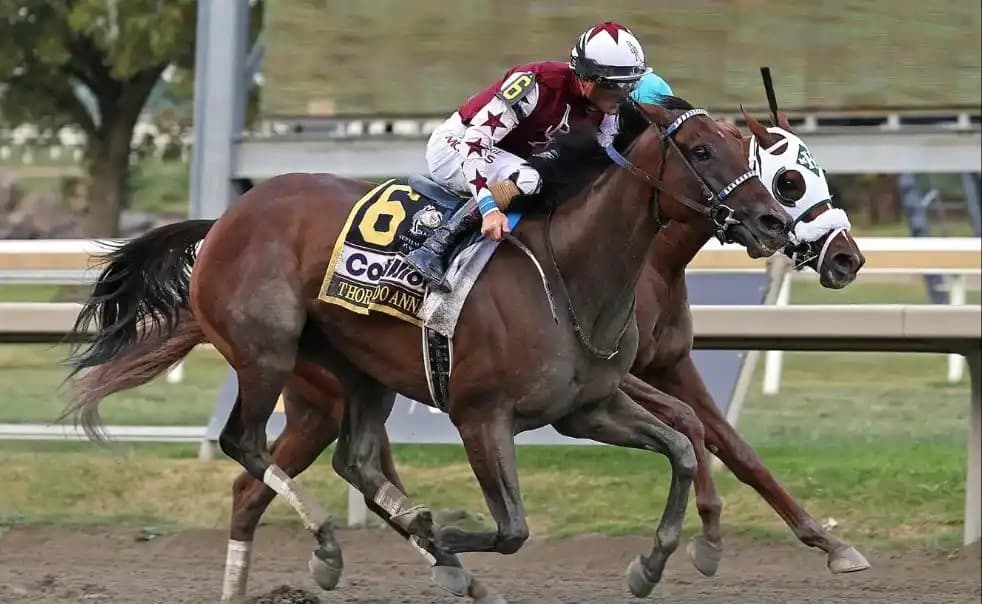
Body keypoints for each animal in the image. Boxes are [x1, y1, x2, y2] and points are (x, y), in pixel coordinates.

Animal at [65, 98, 792, 600]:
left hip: (357, 375)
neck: (570, 273)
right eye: (701, 150)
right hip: (266, 354)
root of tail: (226, 220)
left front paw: (653, 562)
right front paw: (440, 537)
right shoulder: (481, 415)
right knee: (243, 446)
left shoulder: (587, 408)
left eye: (749, 152)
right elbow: (513, 528)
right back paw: (342, 543)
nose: (774, 221)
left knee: (349, 462)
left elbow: (680, 448)